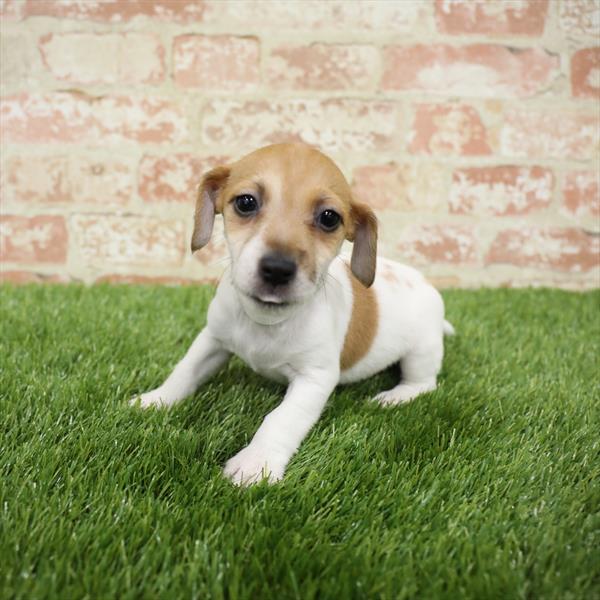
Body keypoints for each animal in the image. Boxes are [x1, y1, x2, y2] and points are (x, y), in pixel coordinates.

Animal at [132, 143, 454, 486]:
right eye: (246, 202)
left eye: (329, 218)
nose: (277, 268)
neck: (267, 321)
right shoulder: (212, 340)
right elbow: (184, 371)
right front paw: (157, 400)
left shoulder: (315, 378)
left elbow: (281, 419)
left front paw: (255, 463)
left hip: (422, 352)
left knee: (424, 383)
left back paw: (396, 396)